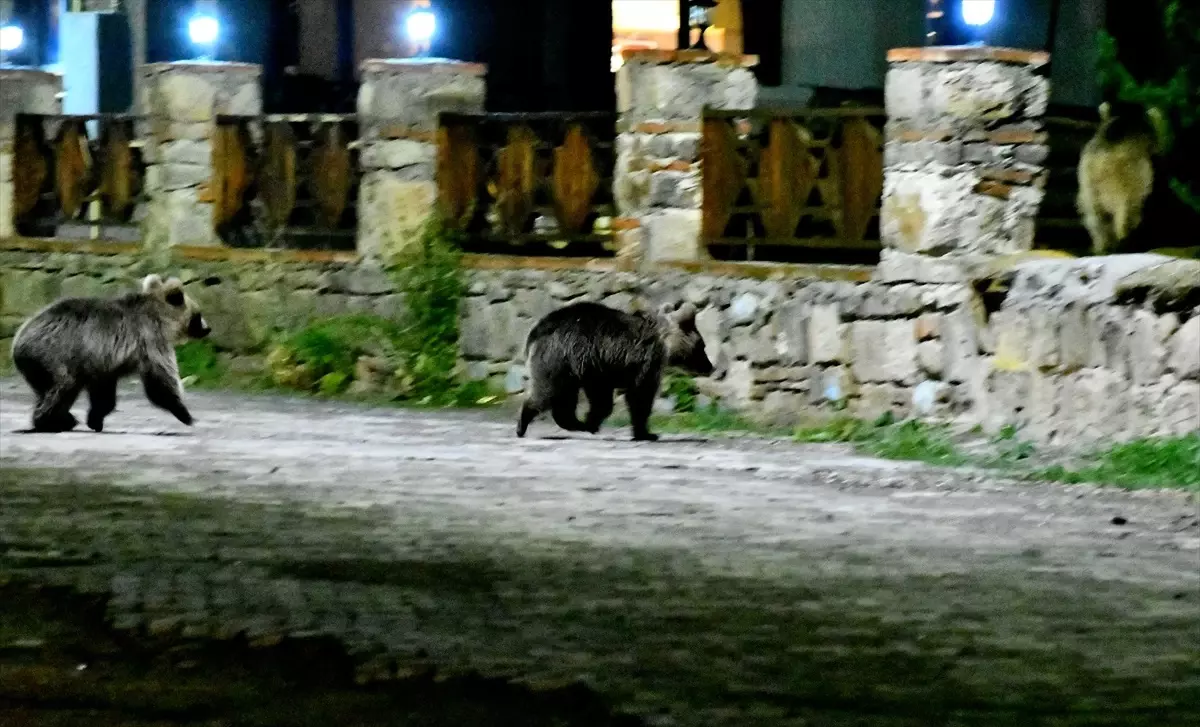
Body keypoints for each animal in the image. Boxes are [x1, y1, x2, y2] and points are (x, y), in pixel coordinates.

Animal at [10, 273, 212, 431]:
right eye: (198, 315)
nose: (207, 328)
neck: (161, 319)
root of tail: (17, 343)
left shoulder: (103, 360)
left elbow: (104, 394)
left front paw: (95, 420)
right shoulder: (149, 340)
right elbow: (160, 379)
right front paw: (186, 414)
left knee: (49, 390)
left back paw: (63, 419)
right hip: (56, 355)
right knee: (62, 387)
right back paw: (51, 420)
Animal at [516, 302, 710, 443]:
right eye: (701, 346)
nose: (710, 367)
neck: (664, 341)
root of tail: (536, 330)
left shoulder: (598, 367)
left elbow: (602, 399)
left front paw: (591, 421)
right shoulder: (643, 362)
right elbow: (640, 397)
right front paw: (646, 433)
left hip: (569, 367)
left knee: (564, 399)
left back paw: (575, 423)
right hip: (559, 357)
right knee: (547, 391)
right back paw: (522, 424)